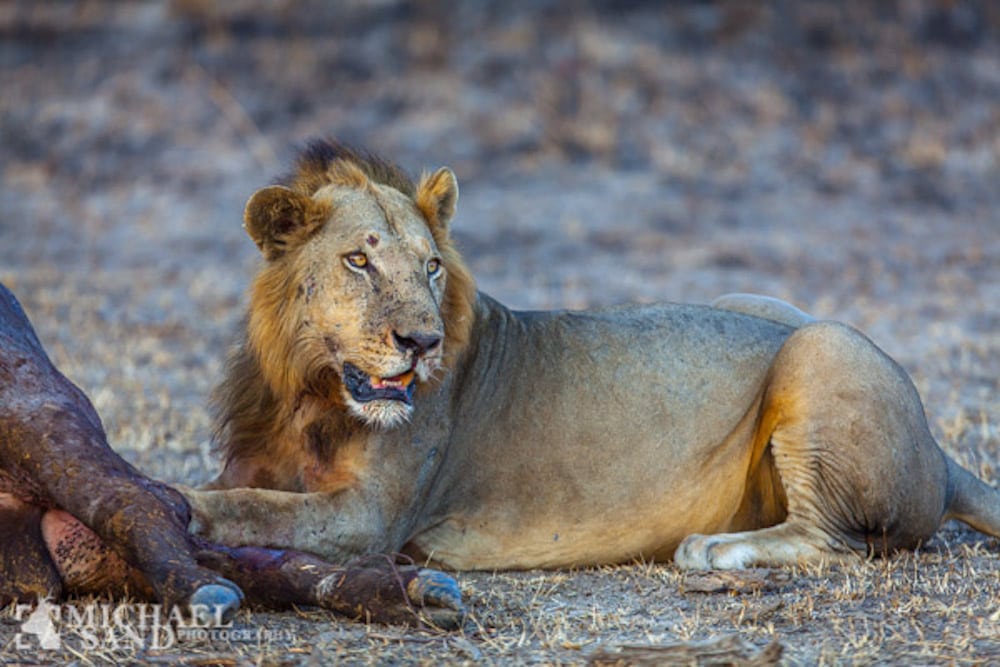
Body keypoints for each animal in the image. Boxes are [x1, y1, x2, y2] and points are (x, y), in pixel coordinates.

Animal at [183, 140, 1000, 572]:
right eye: (358, 260)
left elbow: (249, 508)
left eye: (431, 267)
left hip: (821, 344)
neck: (307, 390)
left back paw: (711, 549)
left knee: (838, 542)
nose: (423, 343)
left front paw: (181, 508)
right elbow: (245, 490)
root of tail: (940, 452)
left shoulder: (371, 520)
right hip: (764, 303)